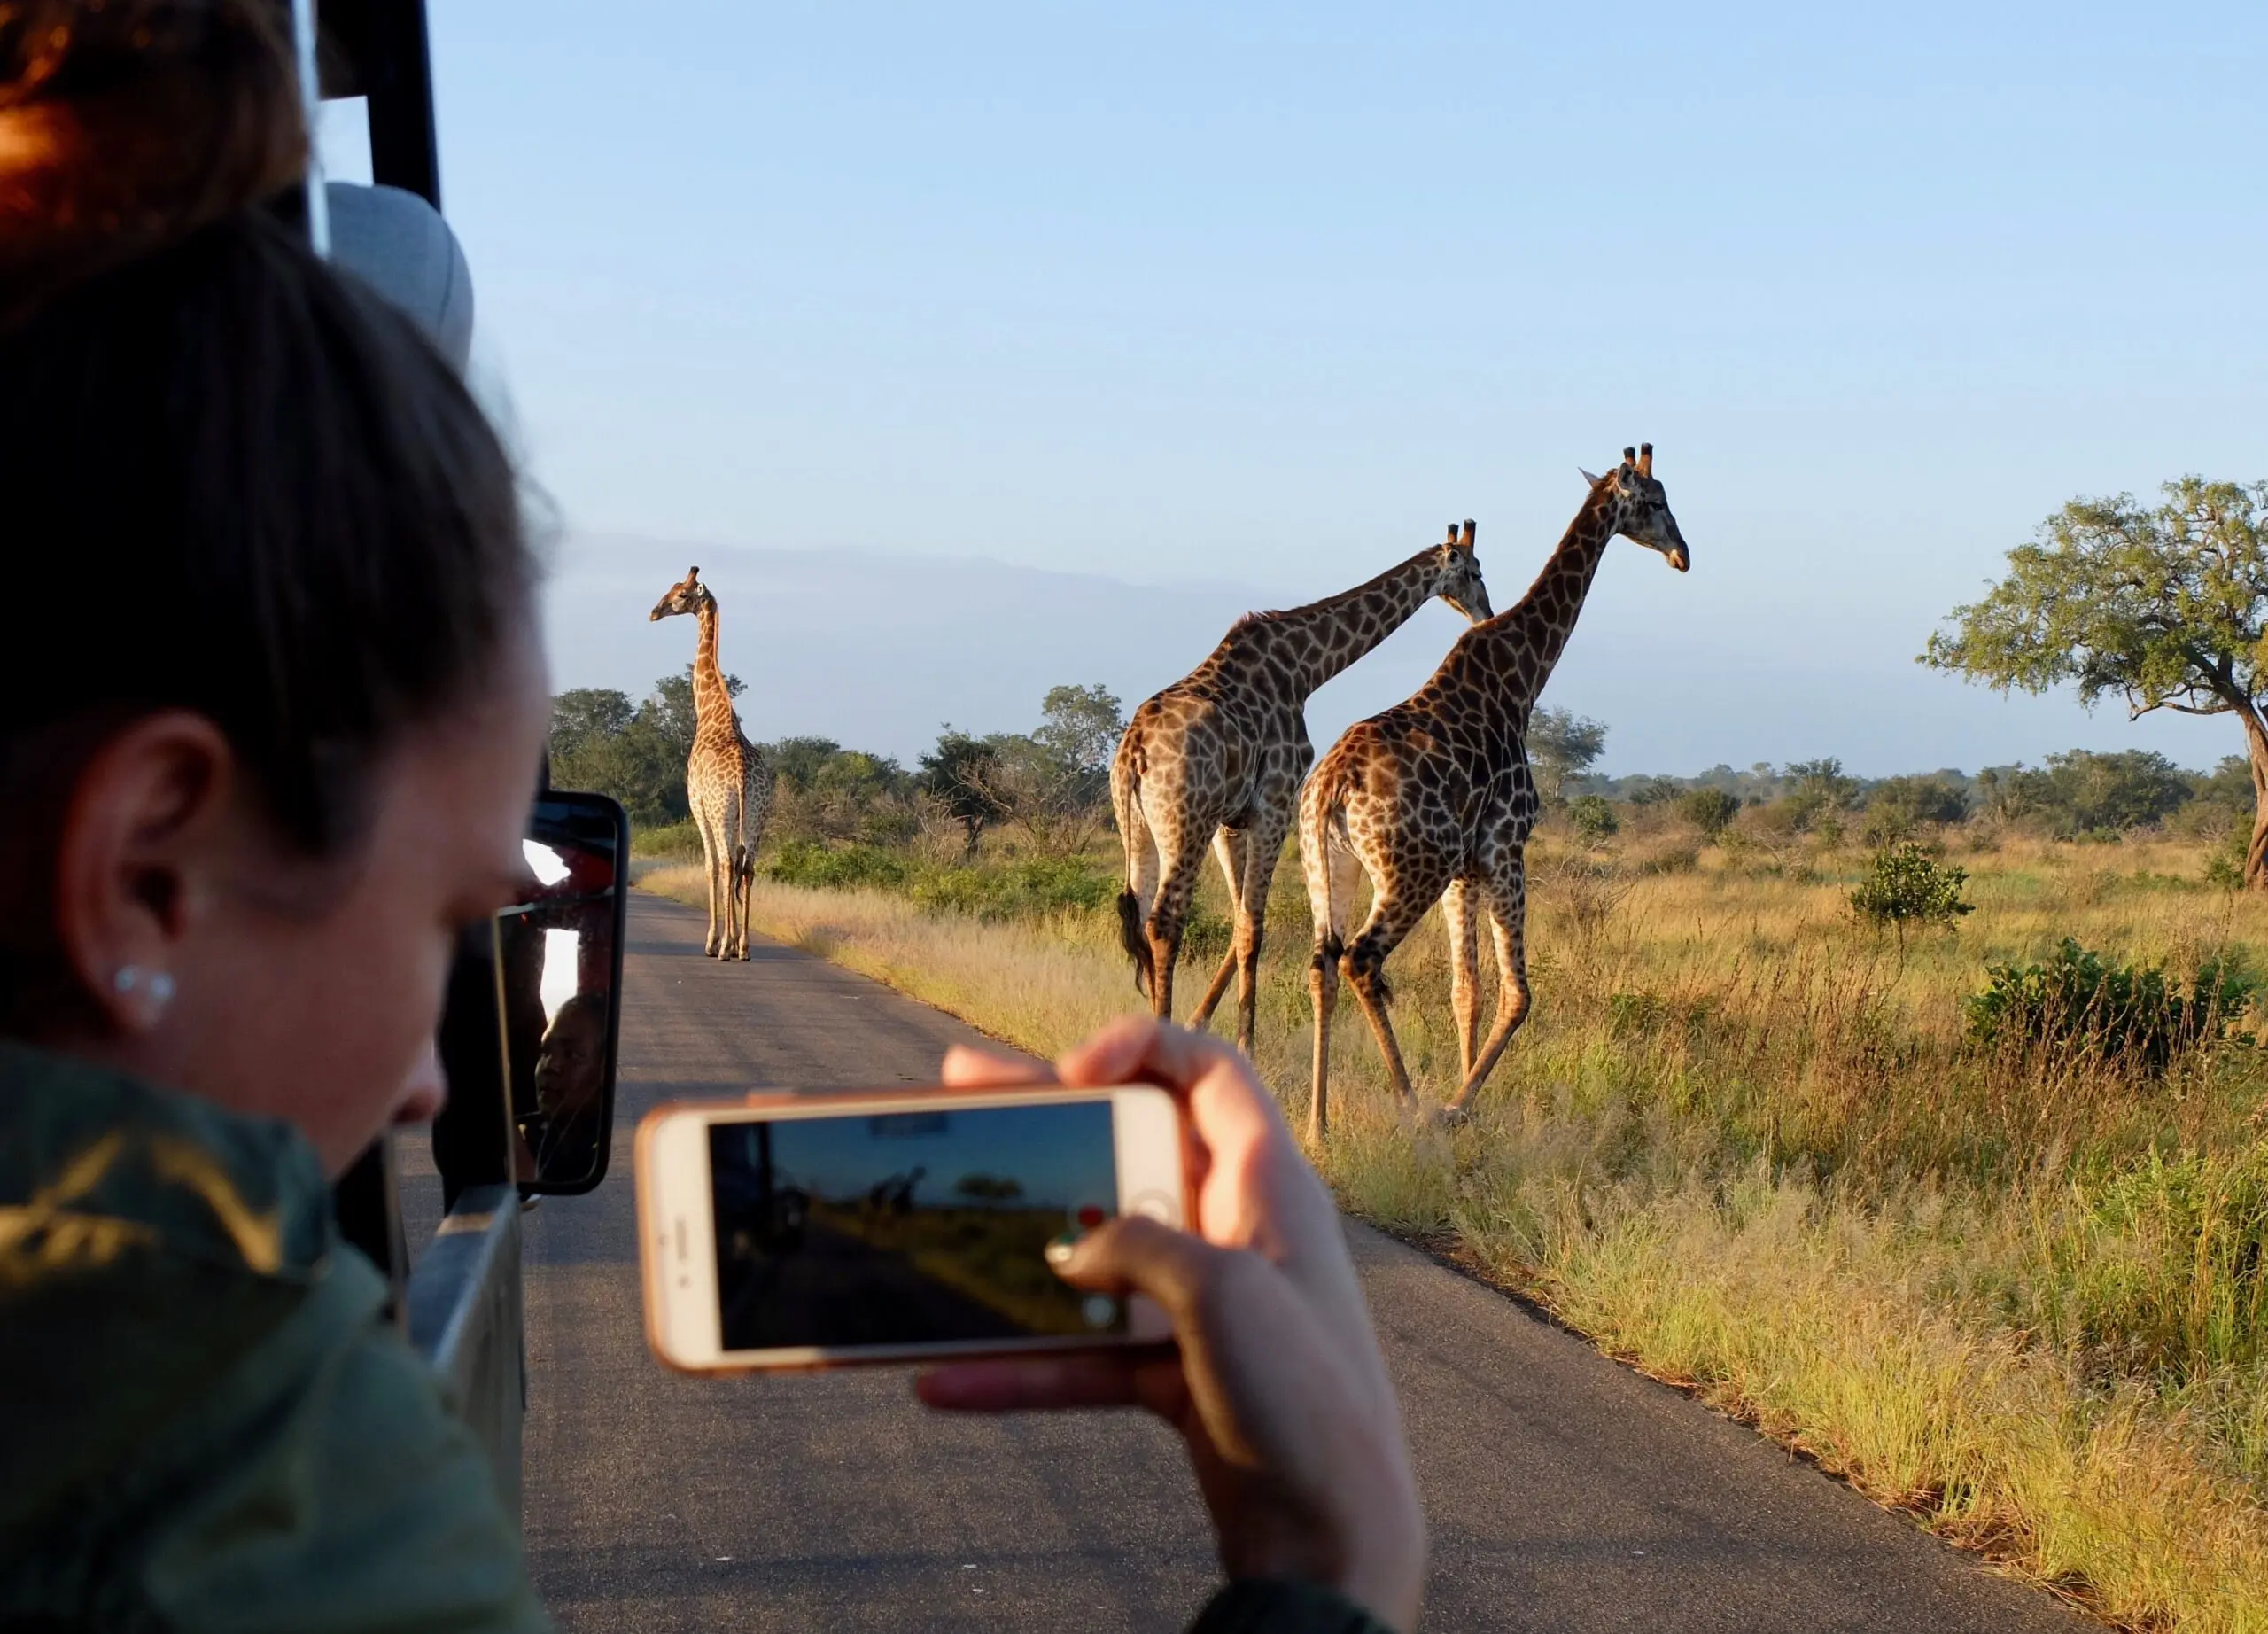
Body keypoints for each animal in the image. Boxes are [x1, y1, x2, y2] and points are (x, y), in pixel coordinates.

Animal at [649, 566, 777, 961]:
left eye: (680, 594)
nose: (654, 612)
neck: (711, 711)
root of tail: (743, 776)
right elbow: (733, 870)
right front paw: (733, 941)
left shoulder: (697, 805)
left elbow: (710, 868)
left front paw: (714, 941)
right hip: (757, 815)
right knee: (747, 867)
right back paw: (745, 946)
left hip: (722, 812)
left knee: (725, 863)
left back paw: (723, 947)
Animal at [1113, 524, 1493, 1054]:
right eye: (1476, 572)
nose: (1487, 615)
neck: (1305, 668)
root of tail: (1133, 754)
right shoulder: (1274, 801)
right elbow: (1252, 927)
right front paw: (1244, 1045)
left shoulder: (1229, 821)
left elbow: (1240, 920)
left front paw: (1201, 1023)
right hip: (1184, 823)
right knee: (1164, 921)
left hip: (1140, 827)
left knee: (1143, 917)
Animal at [1300, 446, 1691, 1140]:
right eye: (1655, 502)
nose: (1683, 554)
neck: (1523, 676)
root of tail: (1332, 788)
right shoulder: (1507, 847)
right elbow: (1519, 993)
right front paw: (1458, 1105)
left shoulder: (1466, 867)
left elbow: (1467, 991)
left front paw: (1464, 1094)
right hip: (1411, 871)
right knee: (1361, 961)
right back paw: (1411, 1106)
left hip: (1331, 867)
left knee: (1322, 962)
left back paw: (1318, 1124)